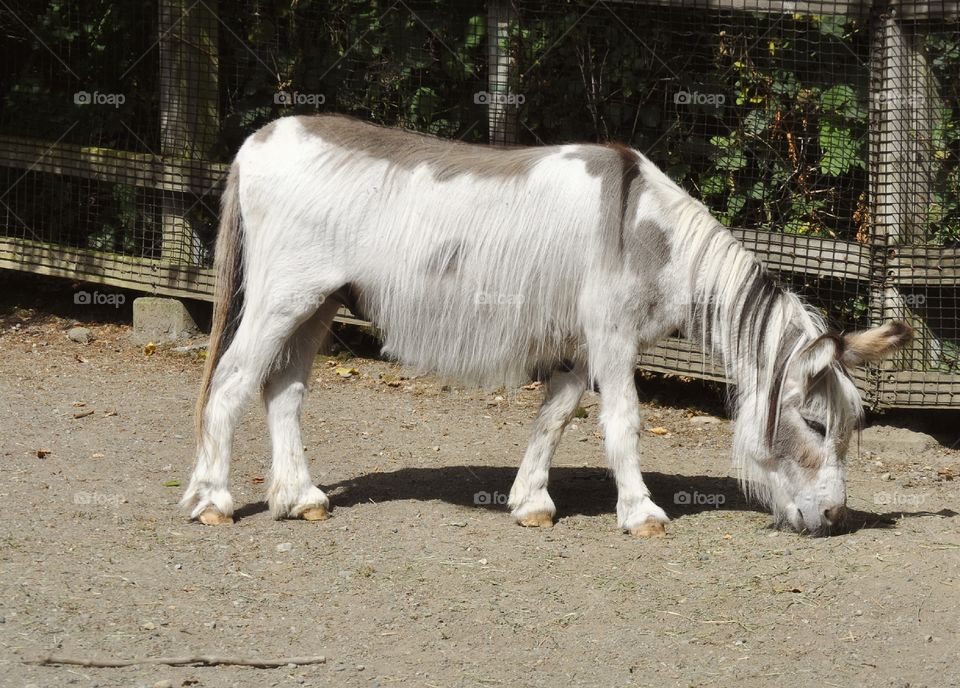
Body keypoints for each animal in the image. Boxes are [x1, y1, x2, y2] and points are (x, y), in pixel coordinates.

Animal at [181, 114, 912, 536]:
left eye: (853, 426)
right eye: (813, 423)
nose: (837, 519)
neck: (651, 234)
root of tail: (255, 141)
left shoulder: (581, 347)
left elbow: (554, 417)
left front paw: (530, 502)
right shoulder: (613, 337)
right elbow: (623, 421)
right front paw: (640, 513)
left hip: (320, 302)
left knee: (283, 391)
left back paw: (299, 497)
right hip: (282, 296)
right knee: (232, 381)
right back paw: (215, 500)